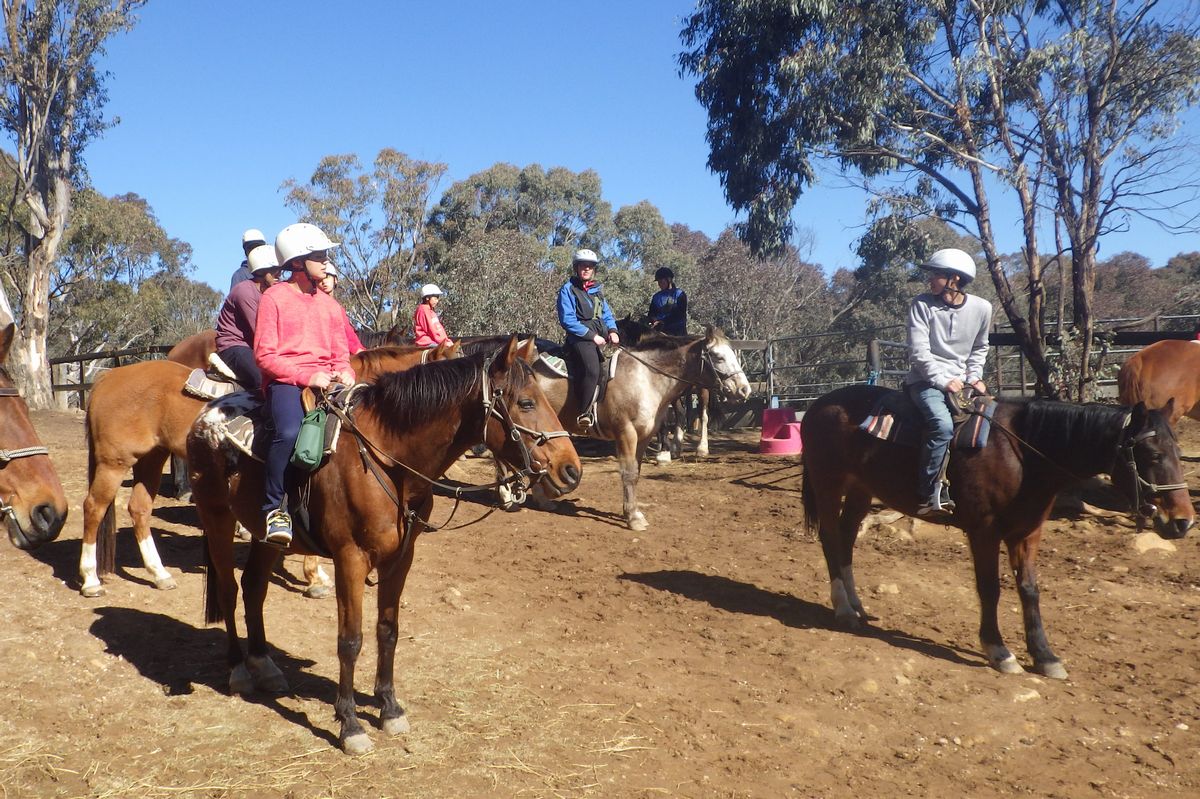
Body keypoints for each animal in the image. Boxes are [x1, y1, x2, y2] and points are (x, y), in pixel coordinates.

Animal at [79, 338, 460, 595]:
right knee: (94, 508)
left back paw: (159, 574)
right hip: (114, 462)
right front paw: (315, 578)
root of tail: (107, 378)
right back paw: (91, 578)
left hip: (151, 457)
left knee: (139, 509)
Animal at [188, 333, 580, 753]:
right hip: (217, 519)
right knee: (229, 590)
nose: (571, 470)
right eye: (525, 403)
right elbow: (350, 640)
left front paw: (389, 708)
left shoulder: (400, 558)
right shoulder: (350, 559)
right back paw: (239, 670)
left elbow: (387, 630)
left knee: (254, 588)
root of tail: (206, 415)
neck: (387, 459)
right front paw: (350, 723)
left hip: (266, 538)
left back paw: (265, 666)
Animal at [801, 386, 1195, 676]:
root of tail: (818, 405)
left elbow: (1029, 590)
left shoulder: (1028, 532)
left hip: (861, 489)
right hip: (828, 483)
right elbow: (990, 589)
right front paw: (999, 650)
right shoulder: (984, 532)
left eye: (1178, 452)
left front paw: (1045, 656)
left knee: (847, 537)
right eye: (1152, 454)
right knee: (831, 538)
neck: (1022, 455)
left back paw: (856, 604)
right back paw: (844, 609)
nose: (1183, 522)